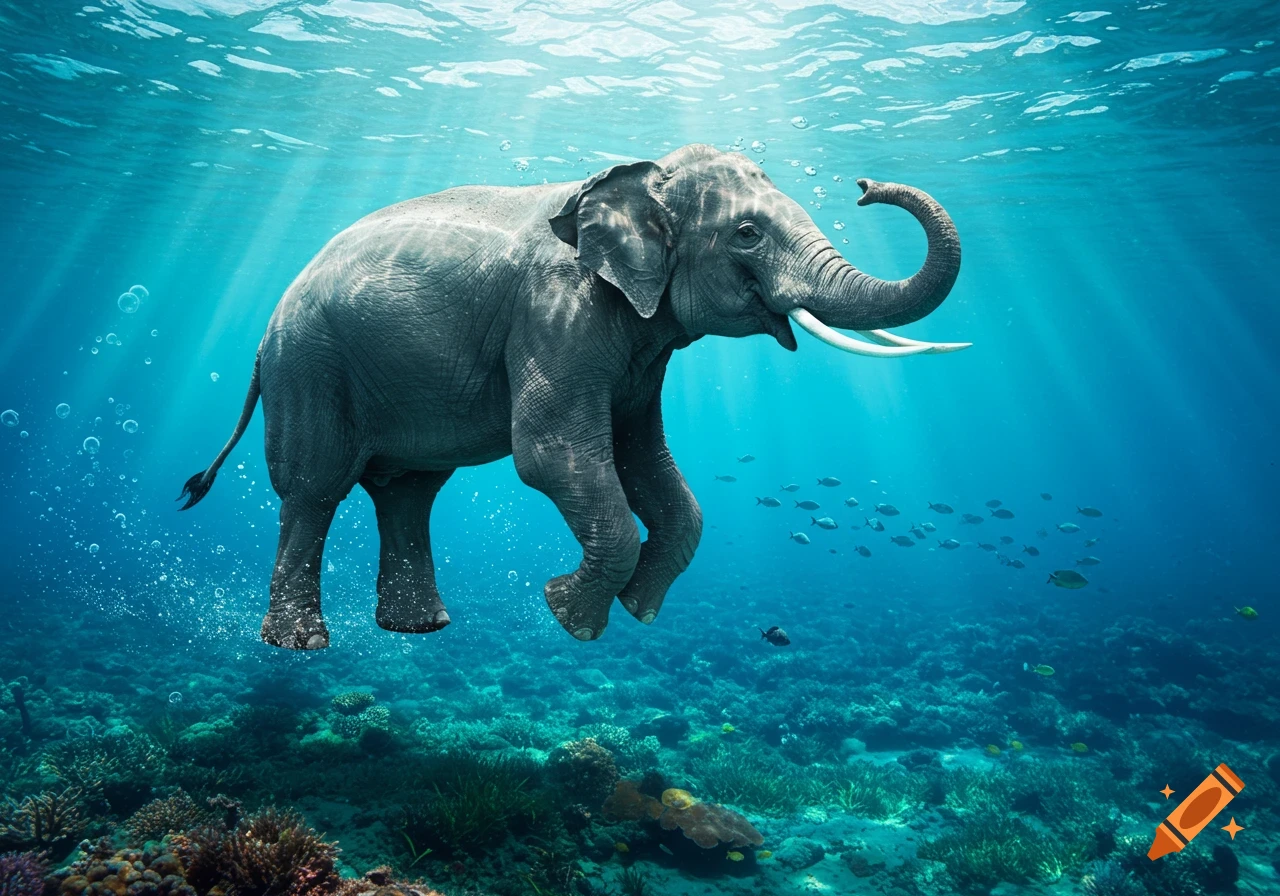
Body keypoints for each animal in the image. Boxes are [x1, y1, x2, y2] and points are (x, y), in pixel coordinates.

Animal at [179, 143, 966, 650]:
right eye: (747, 233)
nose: (865, 185)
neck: (634, 176)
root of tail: (262, 336)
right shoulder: (556, 314)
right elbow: (551, 454)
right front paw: (571, 618)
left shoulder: (640, 348)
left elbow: (648, 463)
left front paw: (638, 612)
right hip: (309, 367)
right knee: (313, 489)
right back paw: (300, 646)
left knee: (408, 491)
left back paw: (421, 630)